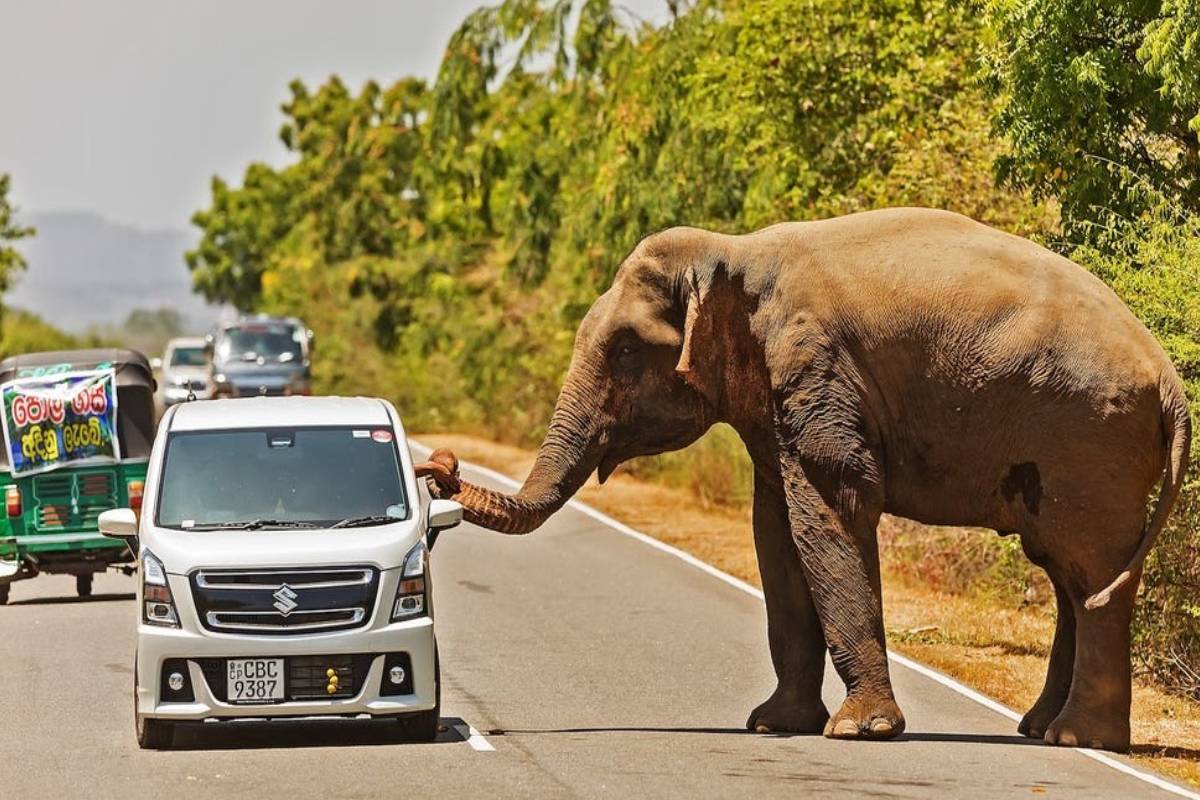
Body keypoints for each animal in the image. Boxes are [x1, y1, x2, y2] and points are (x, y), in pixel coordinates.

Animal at [423, 207, 1191, 752]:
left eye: (625, 350)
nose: (439, 467)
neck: (733, 252)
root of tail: (1170, 380)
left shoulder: (815, 367)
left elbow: (830, 510)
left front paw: (859, 732)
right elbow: (774, 533)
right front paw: (774, 725)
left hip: (1090, 440)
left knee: (1088, 573)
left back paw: (1076, 739)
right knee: (1068, 574)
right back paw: (1040, 729)